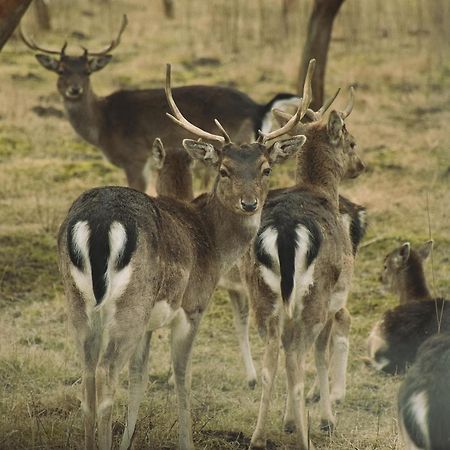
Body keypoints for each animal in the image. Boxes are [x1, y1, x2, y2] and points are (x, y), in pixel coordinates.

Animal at [22, 14, 302, 194]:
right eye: (61, 70)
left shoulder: (135, 157)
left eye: (87, 71)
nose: (74, 89)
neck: (102, 128)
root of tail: (259, 107)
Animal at [56, 64, 310, 450]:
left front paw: (129, 439)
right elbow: (181, 375)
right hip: (130, 304)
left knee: (86, 373)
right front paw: (185, 440)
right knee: (106, 371)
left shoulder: (150, 323)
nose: (249, 203)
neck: (212, 242)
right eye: (224, 170)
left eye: (266, 169)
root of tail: (99, 224)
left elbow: (140, 376)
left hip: (78, 302)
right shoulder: (193, 305)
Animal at [239, 81, 366, 450]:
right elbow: (320, 355)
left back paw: (258, 437)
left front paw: (289, 421)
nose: (361, 165)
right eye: (352, 141)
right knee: (299, 358)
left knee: (273, 361)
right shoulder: (334, 298)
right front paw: (323, 420)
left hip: (262, 295)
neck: (320, 190)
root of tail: (284, 233)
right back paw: (306, 434)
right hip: (314, 297)